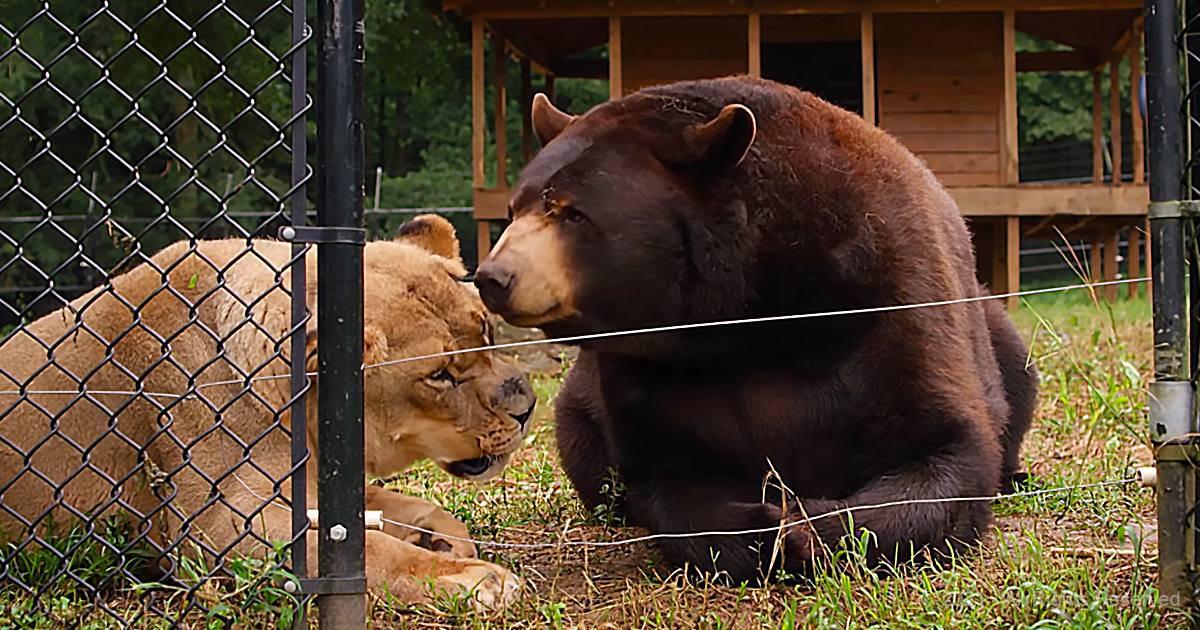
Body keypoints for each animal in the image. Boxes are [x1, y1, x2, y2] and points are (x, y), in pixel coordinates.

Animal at [0, 215, 531, 610]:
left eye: (486, 330)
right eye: (439, 376)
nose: (526, 408)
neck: (308, 424)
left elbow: (403, 508)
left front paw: (442, 537)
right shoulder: (212, 527)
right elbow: (371, 550)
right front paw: (472, 578)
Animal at [473, 75, 1037, 584]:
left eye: (572, 213)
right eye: (515, 208)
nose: (492, 277)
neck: (740, 318)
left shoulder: (890, 294)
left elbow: (948, 448)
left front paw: (809, 529)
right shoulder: (648, 368)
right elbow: (672, 476)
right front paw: (760, 528)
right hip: (579, 405)